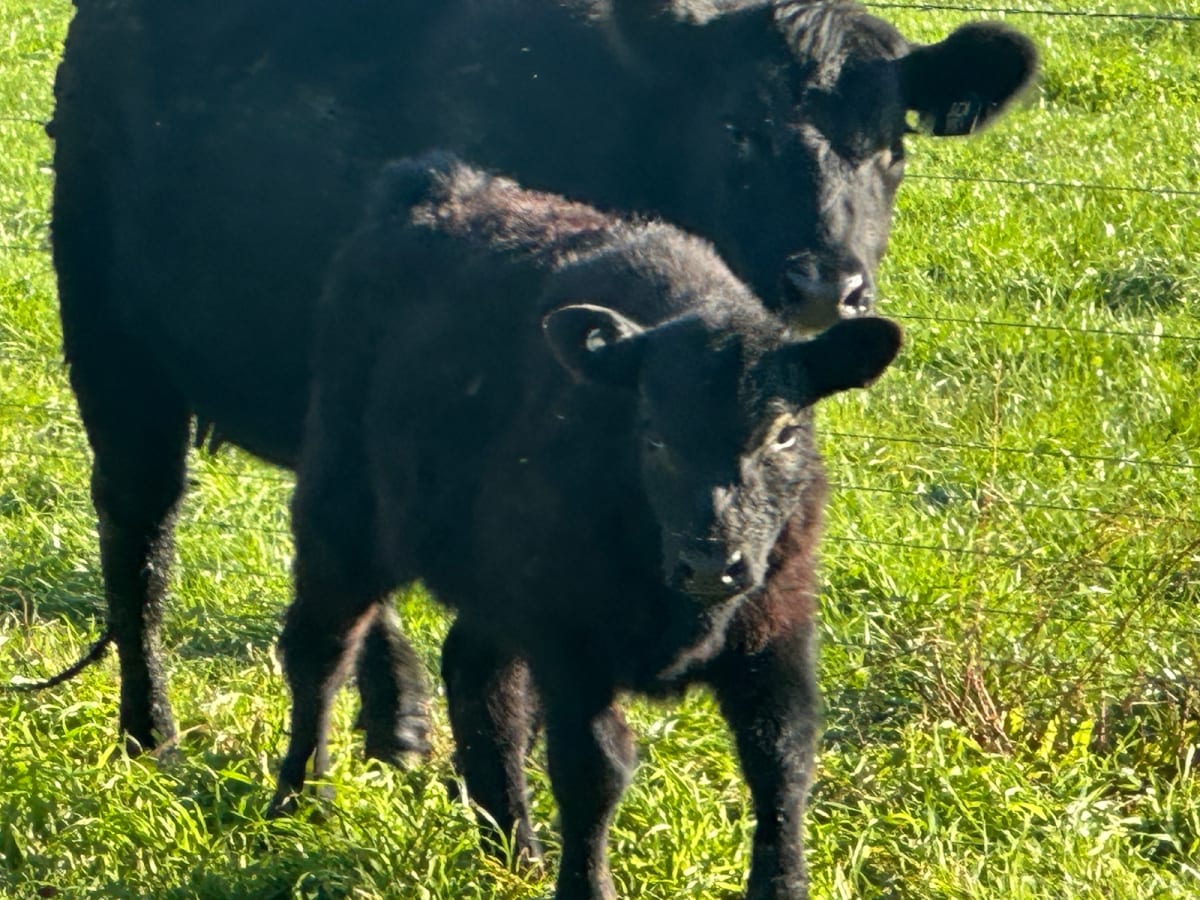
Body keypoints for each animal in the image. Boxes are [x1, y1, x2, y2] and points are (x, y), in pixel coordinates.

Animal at [44, 0, 1033, 761]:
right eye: (734, 129)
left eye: (891, 143)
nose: (828, 281)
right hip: (116, 353)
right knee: (139, 539)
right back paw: (151, 737)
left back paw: (394, 727)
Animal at [270, 152, 904, 900]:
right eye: (652, 431)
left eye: (783, 432)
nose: (710, 562)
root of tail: (430, 180)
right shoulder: (571, 646)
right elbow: (591, 772)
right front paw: (584, 885)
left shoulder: (776, 631)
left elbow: (782, 762)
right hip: (342, 518)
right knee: (319, 654)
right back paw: (297, 803)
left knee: (477, 676)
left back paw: (512, 850)